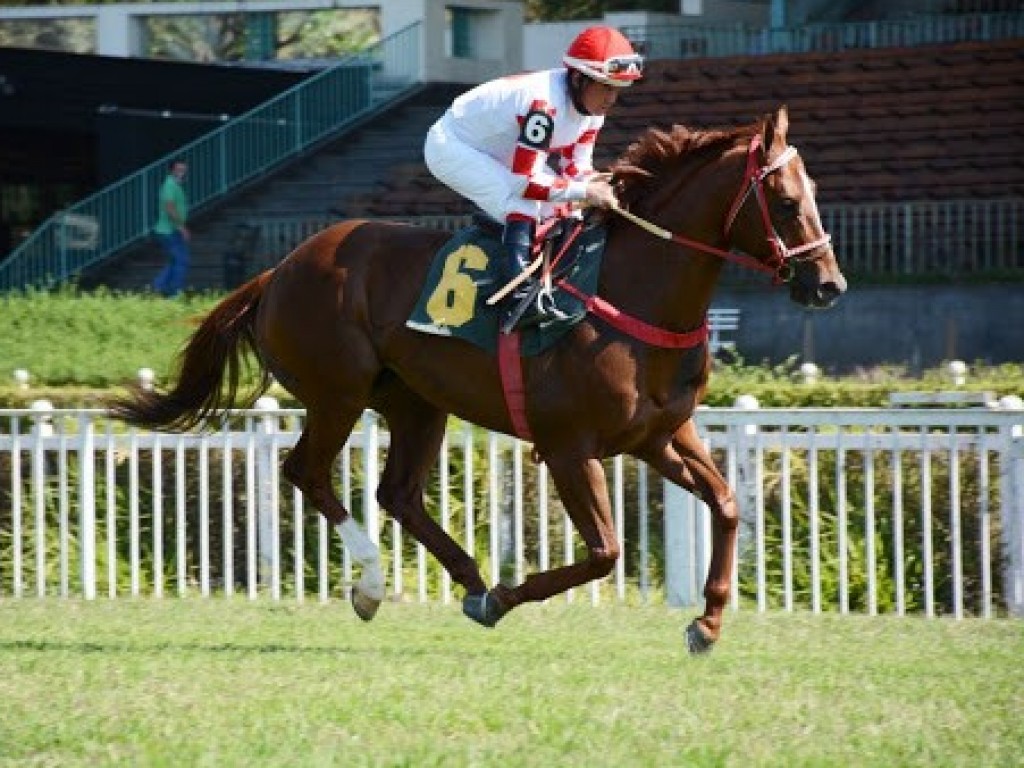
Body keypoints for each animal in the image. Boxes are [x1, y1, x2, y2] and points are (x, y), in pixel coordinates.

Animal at [114, 105, 847, 651]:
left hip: (415, 402)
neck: (629, 293)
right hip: (338, 393)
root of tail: (278, 270)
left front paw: (708, 621)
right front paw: (505, 596)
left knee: (396, 492)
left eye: (814, 196)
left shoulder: (659, 436)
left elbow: (726, 505)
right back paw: (376, 585)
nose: (828, 284)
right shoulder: (568, 447)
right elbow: (605, 552)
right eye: (785, 203)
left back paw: (465, 577)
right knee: (307, 472)